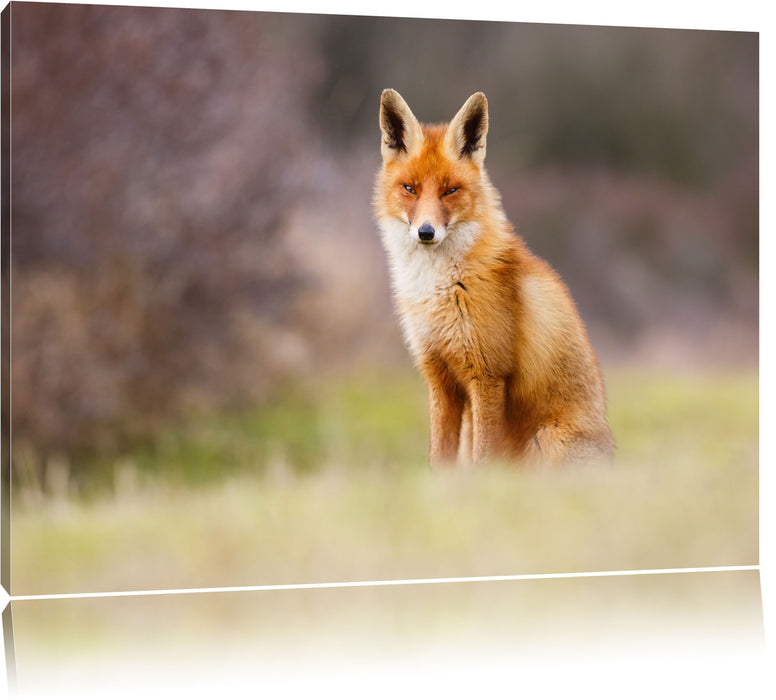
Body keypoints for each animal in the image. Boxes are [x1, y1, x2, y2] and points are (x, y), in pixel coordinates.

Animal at [373, 89, 614, 467]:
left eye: (450, 191)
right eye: (410, 188)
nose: (426, 232)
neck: (440, 288)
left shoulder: (487, 376)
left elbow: (482, 461)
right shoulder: (439, 377)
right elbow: (439, 460)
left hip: (546, 440)